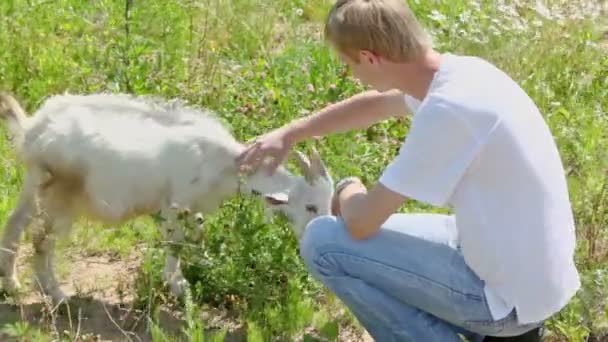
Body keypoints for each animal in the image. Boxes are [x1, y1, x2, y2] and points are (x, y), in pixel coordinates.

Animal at [0, 92, 334, 304]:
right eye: (310, 206)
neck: (221, 162)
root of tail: (34, 130)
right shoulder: (173, 203)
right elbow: (175, 242)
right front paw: (177, 285)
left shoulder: (193, 208)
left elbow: (198, 234)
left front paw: (205, 264)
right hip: (61, 195)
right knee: (42, 240)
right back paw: (56, 294)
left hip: (34, 182)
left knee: (15, 224)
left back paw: (12, 284)